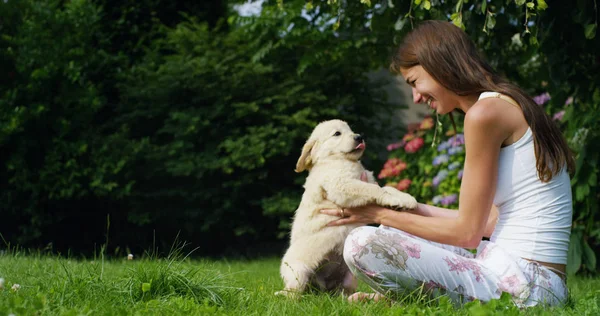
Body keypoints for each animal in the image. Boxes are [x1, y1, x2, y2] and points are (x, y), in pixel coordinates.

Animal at [276, 119, 418, 298]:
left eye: (351, 130)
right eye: (337, 133)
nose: (359, 137)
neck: (338, 160)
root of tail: (321, 288)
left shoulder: (367, 178)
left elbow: (386, 187)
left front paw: (405, 198)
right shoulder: (341, 184)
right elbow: (374, 189)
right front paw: (394, 199)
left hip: (350, 277)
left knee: (341, 292)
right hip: (297, 270)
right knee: (294, 291)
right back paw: (286, 295)